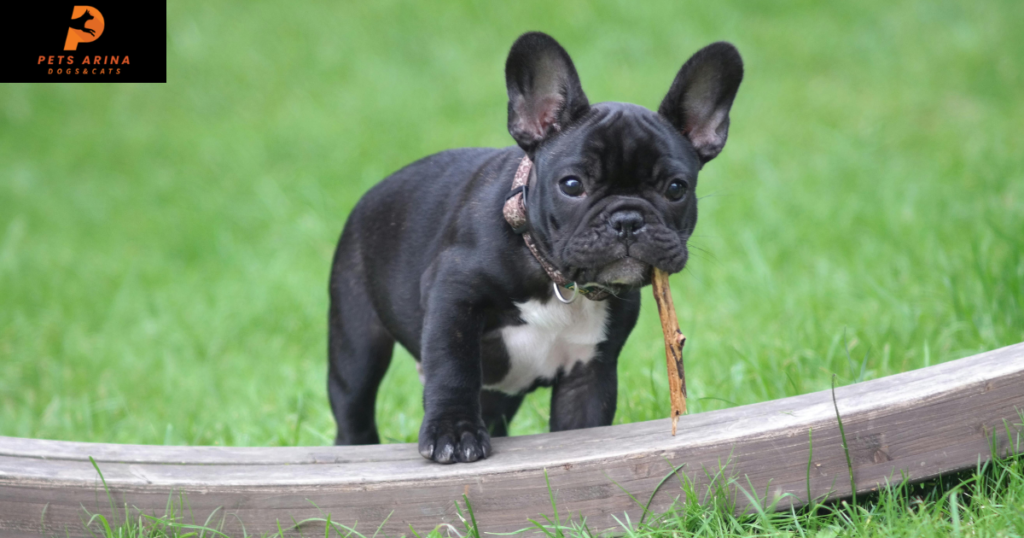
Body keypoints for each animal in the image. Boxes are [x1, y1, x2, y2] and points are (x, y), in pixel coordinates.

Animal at [331, 32, 741, 461]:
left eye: (676, 189)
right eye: (572, 185)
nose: (627, 220)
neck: (554, 276)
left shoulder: (589, 373)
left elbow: (584, 424)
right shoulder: (452, 296)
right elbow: (453, 367)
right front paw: (454, 432)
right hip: (357, 343)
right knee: (354, 405)